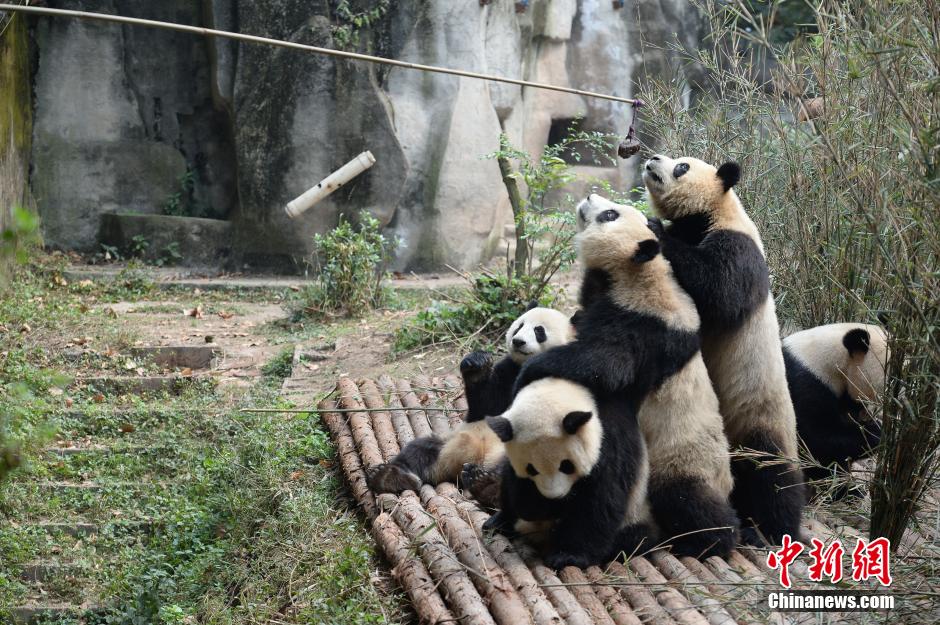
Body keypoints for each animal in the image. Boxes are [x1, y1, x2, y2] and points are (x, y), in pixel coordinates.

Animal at [482, 376, 648, 572]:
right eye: (531, 469)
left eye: (566, 465)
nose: (556, 496)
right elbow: (518, 494)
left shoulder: (610, 442)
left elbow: (599, 502)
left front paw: (569, 556)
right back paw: (498, 522)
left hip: (635, 513)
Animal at [644, 154, 804, 544]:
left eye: (682, 167)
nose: (653, 158)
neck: (715, 210)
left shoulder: (740, 248)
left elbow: (719, 291)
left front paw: (655, 228)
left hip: (760, 418)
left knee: (771, 478)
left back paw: (773, 531)